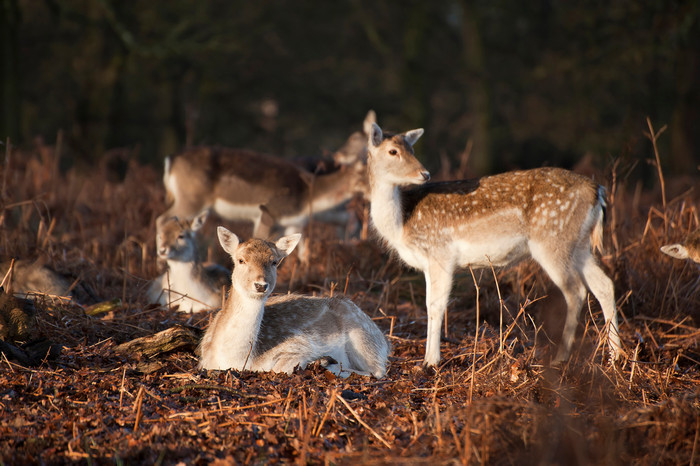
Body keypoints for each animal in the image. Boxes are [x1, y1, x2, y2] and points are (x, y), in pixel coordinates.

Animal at [197, 228, 392, 376]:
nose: (260, 285)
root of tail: (385, 342)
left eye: (274, 262)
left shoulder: (298, 346)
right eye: (241, 260)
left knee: (377, 371)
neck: (237, 359)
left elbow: (279, 369)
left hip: (362, 337)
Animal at [364, 121, 620, 368]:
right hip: (579, 245)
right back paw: (616, 356)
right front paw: (428, 359)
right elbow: (431, 305)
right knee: (604, 284)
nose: (424, 173)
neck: (401, 224)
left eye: (412, 149)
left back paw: (561, 358)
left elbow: (435, 306)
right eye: (393, 151)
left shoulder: (440, 253)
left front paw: (430, 362)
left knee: (575, 291)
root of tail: (597, 191)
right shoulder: (430, 263)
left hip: (552, 240)